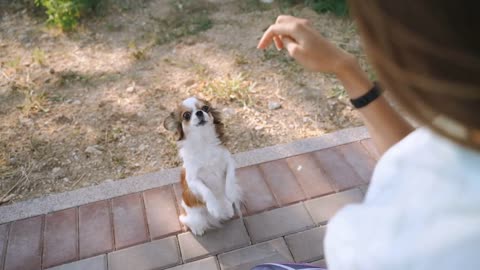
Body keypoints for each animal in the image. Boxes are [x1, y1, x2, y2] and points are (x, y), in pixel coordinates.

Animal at [164, 96, 244, 235]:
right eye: (186, 115)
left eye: (206, 108)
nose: (199, 113)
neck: (203, 141)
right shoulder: (193, 180)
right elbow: (206, 190)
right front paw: (213, 207)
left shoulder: (229, 161)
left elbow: (229, 178)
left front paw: (230, 192)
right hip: (193, 216)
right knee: (185, 220)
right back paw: (198, 228)